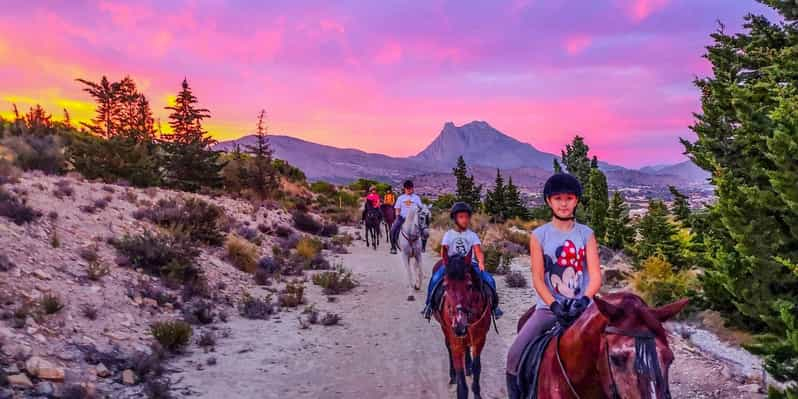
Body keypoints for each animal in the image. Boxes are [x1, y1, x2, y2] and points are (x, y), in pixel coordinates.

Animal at [432, 253, 494, 399]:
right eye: (446, 286)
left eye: (469, 285)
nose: (459, 325)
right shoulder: (455, 341)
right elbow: (459, 372)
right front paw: (458, 380)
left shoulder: (480, 339)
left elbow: (477, 367)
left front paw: (476, 392)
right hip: (446, 330)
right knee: (449, 348)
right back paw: (452, 376)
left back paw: (468, 366)